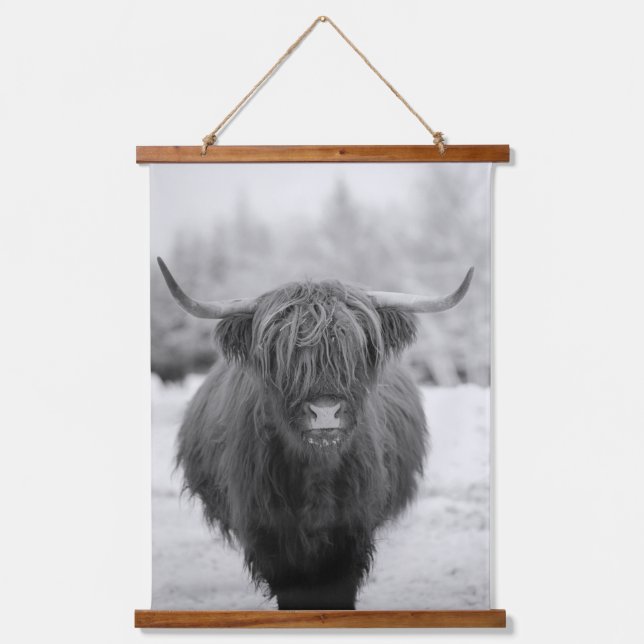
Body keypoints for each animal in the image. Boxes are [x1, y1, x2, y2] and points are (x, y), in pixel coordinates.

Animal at [157, 257, 473, 610]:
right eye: (281, 352)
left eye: (356, 350)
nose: (325, 412)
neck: (315, 472)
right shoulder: (268, 534)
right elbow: (292, 592)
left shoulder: (351, 533)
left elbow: (337, 591)